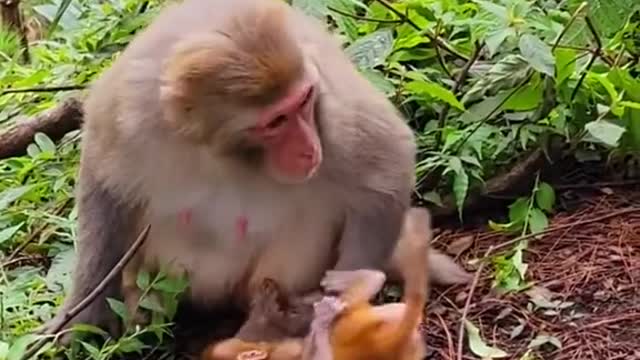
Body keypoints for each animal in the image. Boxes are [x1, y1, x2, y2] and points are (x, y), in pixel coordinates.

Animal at [43, 0, 470, 338]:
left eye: (304, 101)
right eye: (276, 121)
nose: (308, 149)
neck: (220, 151)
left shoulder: (333, 110)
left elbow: (389, 164)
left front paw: (341, 305)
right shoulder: (129, 111)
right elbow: (103, 183)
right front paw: (84, 314)